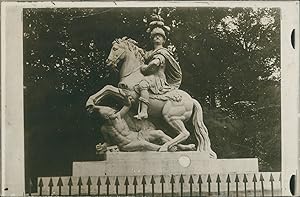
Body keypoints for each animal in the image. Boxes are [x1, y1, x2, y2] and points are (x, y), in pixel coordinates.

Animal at [85, 37, 217, 159]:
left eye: (115, 48)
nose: (108, 61)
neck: (132, 74)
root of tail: (192, 100)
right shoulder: (122, 94)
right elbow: (107, 89)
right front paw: (92, 103)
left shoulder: (127, 94)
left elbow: (108, 88)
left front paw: (90, 102)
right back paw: (184, 147)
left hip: (171, 117)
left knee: (185, 133)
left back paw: (165, 147)